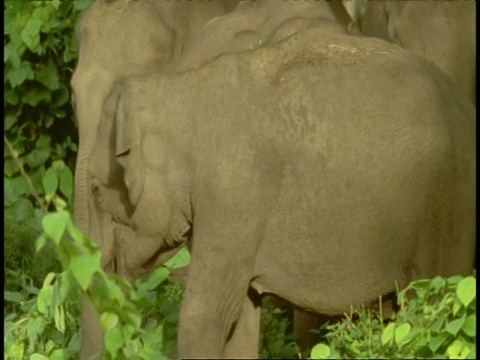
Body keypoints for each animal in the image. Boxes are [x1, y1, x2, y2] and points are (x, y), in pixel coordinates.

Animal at [94, 2, 476, 358]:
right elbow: (240, 320)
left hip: (448, 206)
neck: (180, 85)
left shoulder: (232, 191)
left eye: (97, 191)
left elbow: (208, 315)